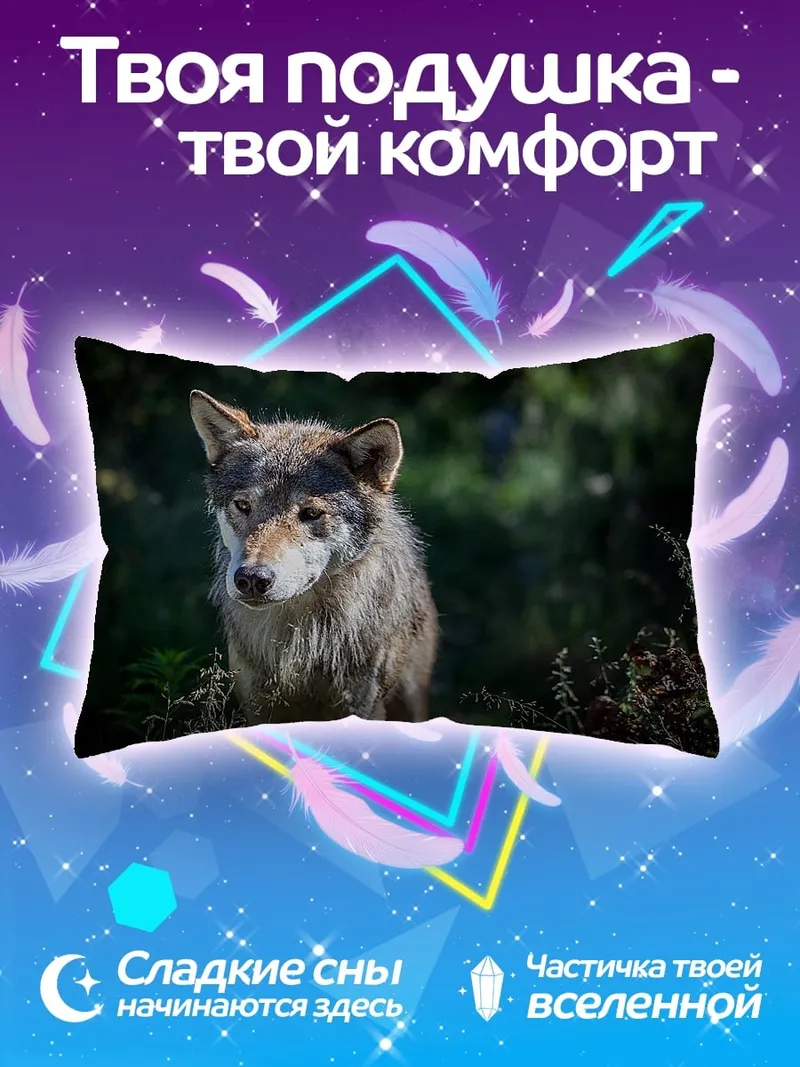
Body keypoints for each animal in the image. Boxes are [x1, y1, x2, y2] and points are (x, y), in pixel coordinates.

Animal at [190, 389, 438, 725]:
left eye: (311, 513)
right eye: (243, 505)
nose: (252, 579)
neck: (301, 638)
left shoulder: (361, 705)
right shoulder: (257, 704)